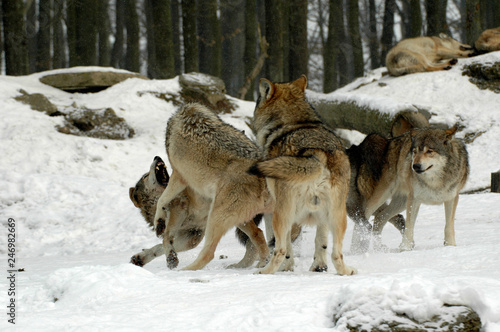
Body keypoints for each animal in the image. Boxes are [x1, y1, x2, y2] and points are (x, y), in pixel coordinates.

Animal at [131, 156, 268, 270]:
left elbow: (165, 239)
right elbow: (160, 246)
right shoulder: (193, 236)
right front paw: (141, 258)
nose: (157, 157)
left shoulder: (179, 209)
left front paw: (171, 260)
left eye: (145, 176)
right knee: (257, 234)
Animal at [154, 103, 276, 270]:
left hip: (216, 217)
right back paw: (262, 263)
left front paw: (159, 223)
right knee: (258, 234)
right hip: (237, 217)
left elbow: (161, 200)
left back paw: (186, 270)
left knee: (209, 253)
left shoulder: (179, 176)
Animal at [252, 75, 358, 274]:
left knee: (280, 249)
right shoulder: (322, 217)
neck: (295, 123)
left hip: (282, 215)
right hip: (338, 216)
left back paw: (264, 272)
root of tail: (316, 152)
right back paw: (347, 271)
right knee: (336, 254)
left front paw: (287, 268)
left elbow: (288, 250)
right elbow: (321, 242)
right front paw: (319, 267)